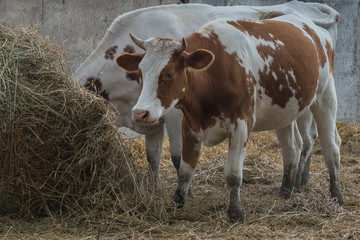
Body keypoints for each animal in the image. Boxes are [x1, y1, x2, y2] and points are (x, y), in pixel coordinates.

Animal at [116, 10, 344, 221]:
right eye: (140, 73)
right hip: (285, 111)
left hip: (325, 97)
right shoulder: (189, 126)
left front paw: (235, 212)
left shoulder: (241, 125)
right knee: (292, 148)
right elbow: (185, 170)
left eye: (169, 73)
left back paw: (336, 196)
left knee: (331, 147)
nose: (140, 113)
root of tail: (309, 23)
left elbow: (233, 174)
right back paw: (287, 191)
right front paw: (178, 203)